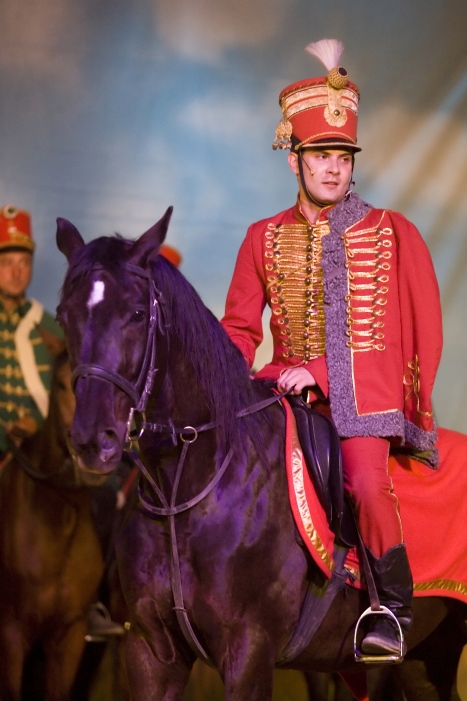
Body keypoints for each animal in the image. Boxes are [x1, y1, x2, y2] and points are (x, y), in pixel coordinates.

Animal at [55, 209, 467, 701]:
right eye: (64, 315)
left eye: (137, 314)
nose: (92, 439)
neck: (188, 487)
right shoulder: (149, 653)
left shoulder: (249, 651)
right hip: (427, 658)